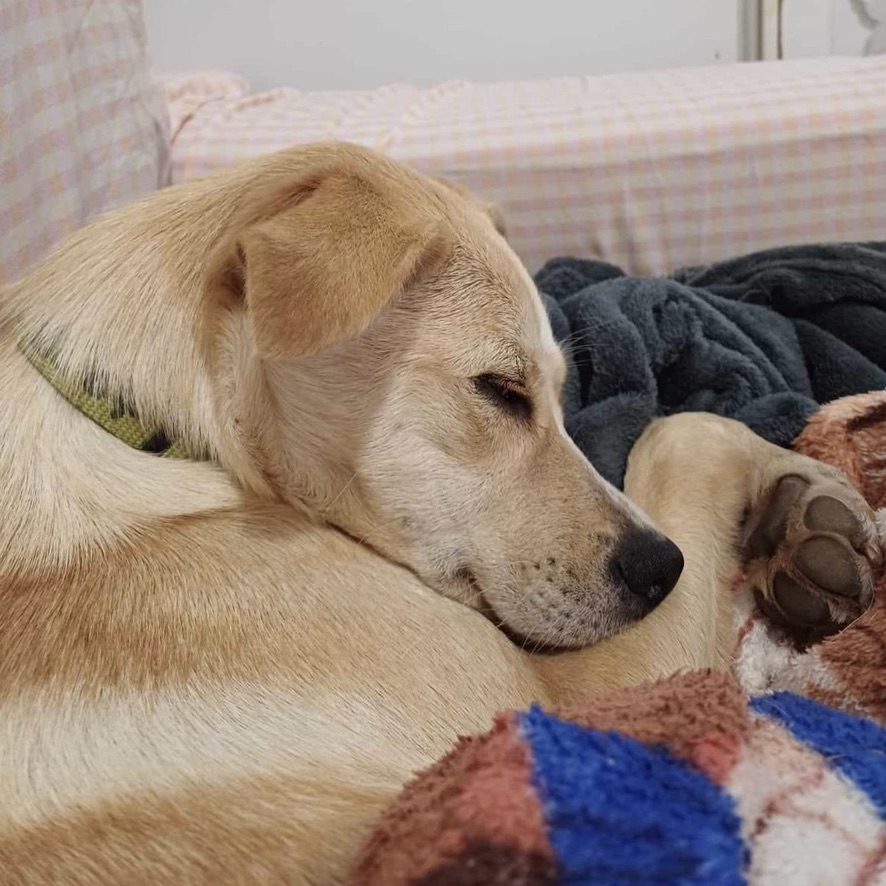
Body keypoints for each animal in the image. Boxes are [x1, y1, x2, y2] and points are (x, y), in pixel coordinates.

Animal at [0, 142, 884, 884]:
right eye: (500, 389)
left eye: (561, 393)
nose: (659, 570)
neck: (168, 440)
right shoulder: (559, 713)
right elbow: (685, 427)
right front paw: (805, 482)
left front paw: (807, 513)